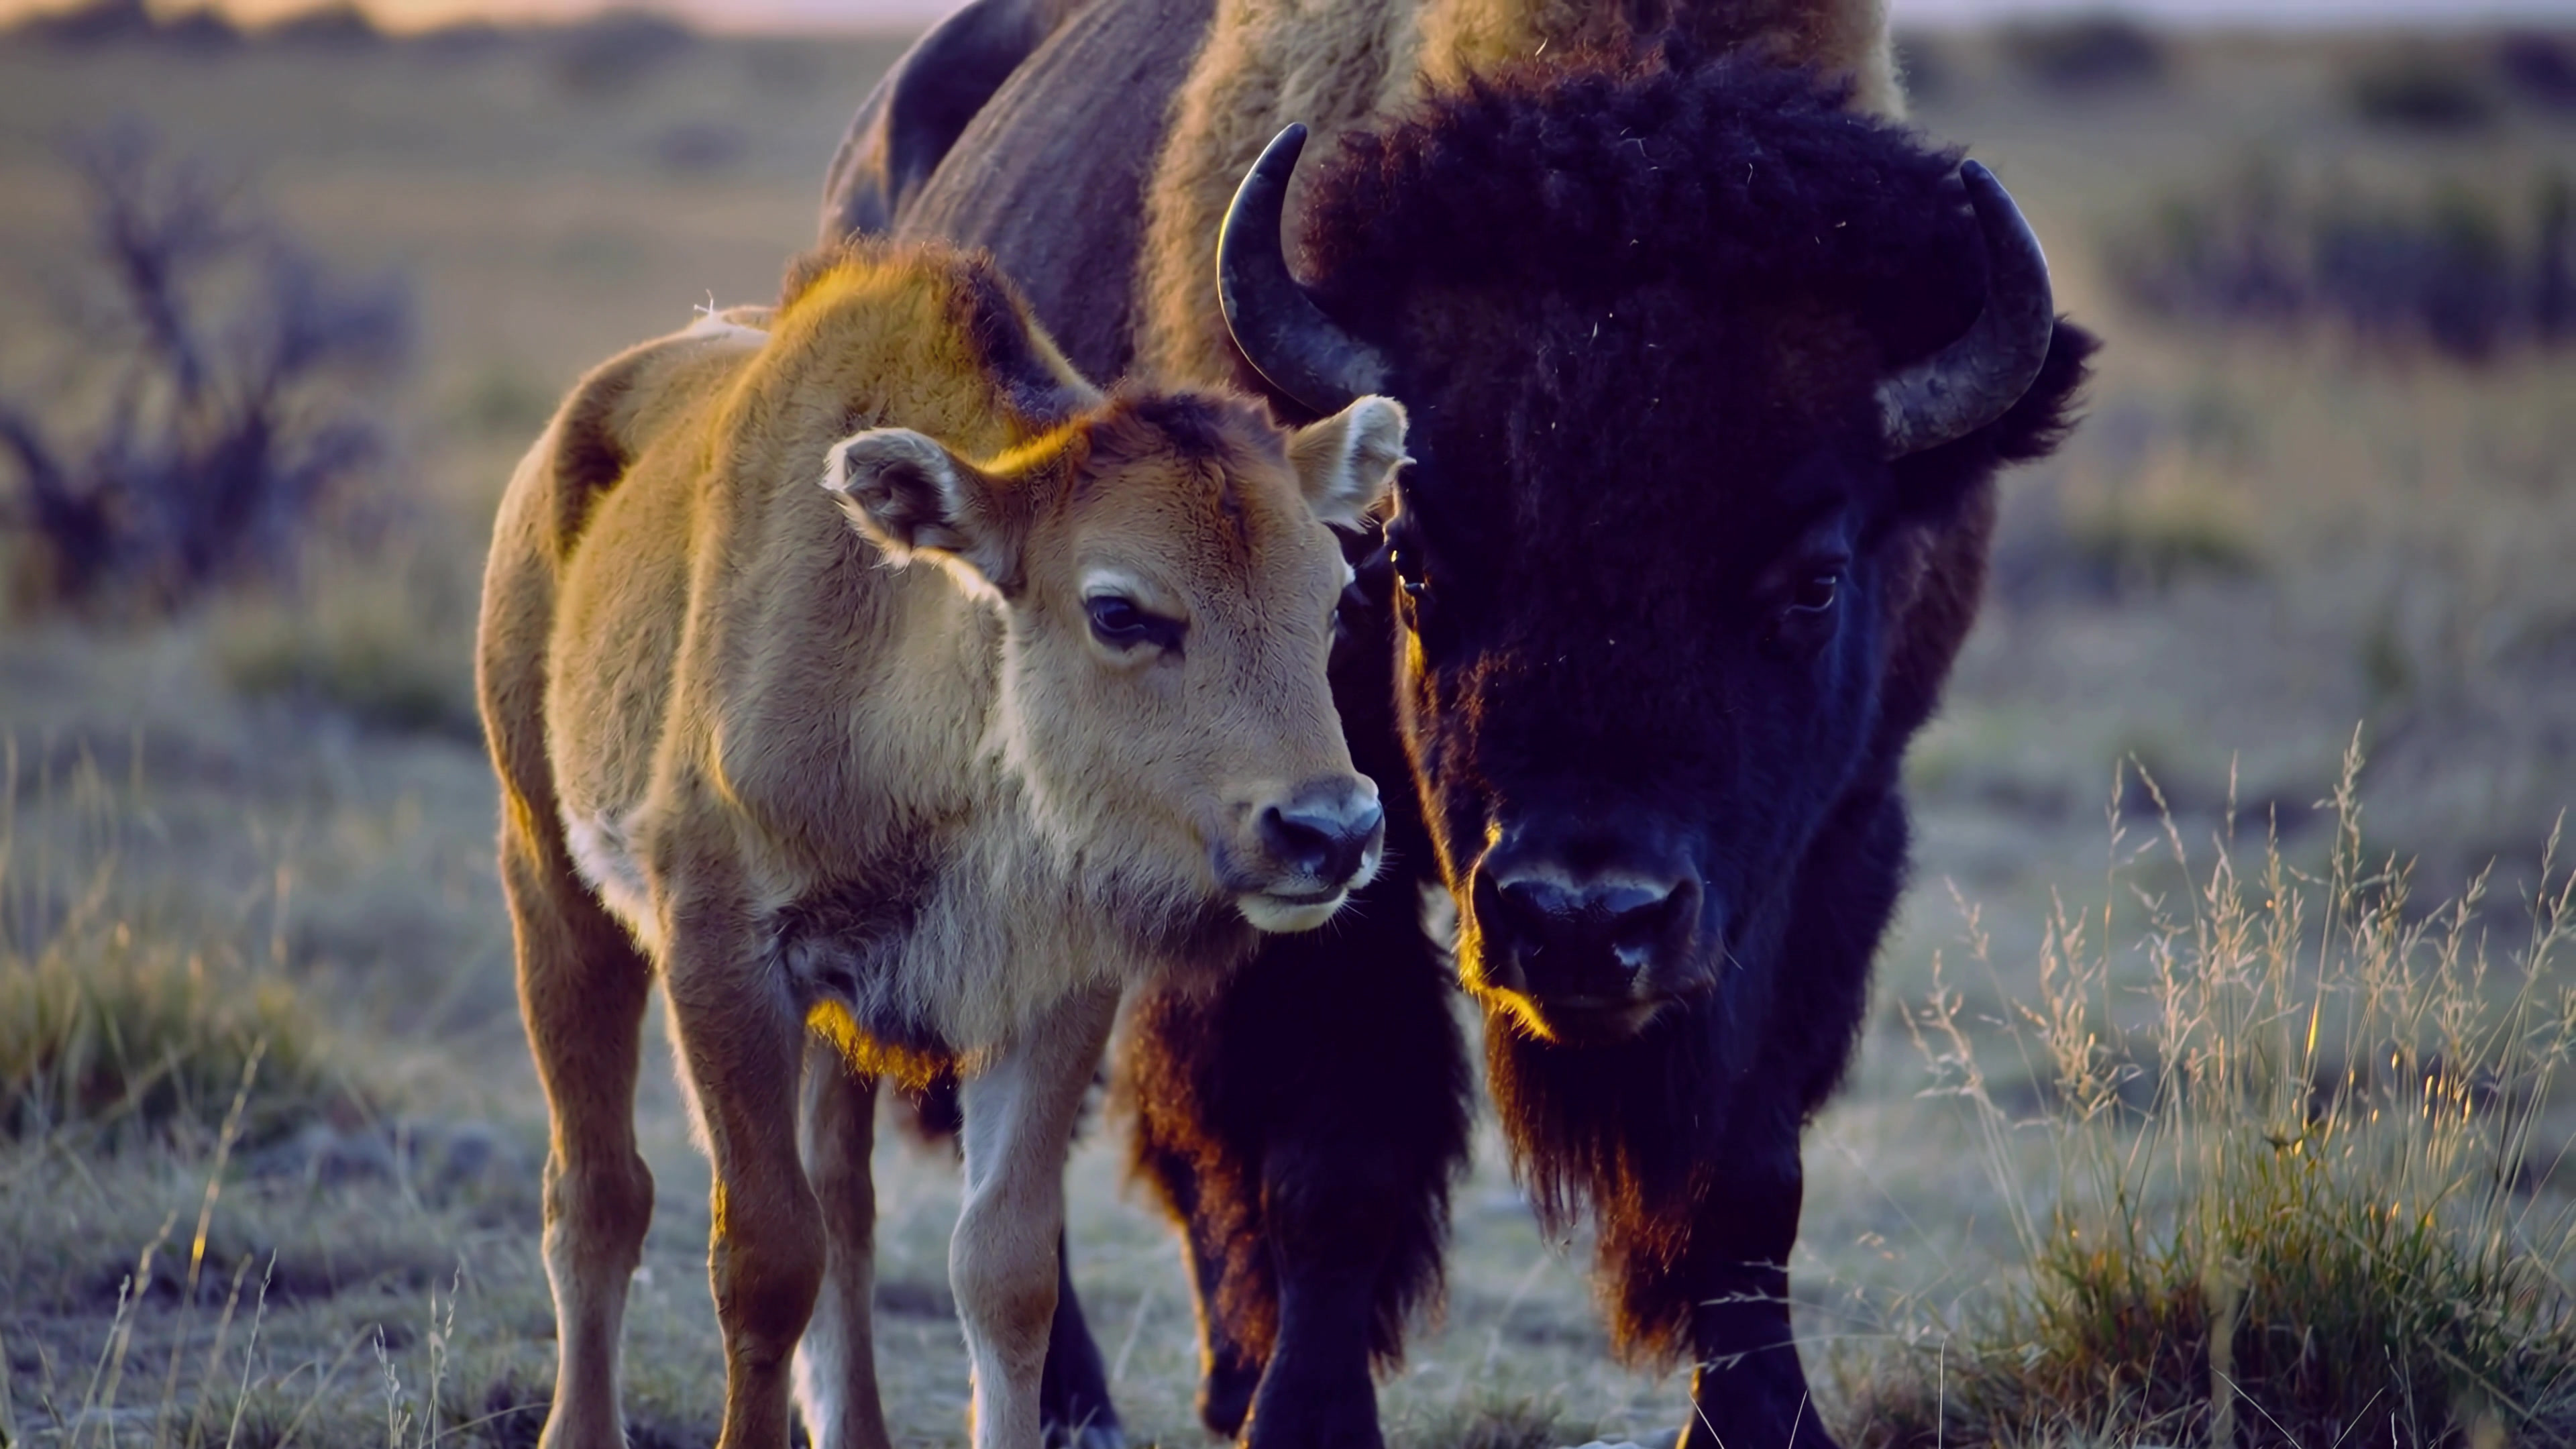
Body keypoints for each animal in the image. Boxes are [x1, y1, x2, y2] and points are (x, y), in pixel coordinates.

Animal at [473, 236, 1414, 1449]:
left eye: (1337, 598)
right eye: (1119, 611)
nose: (1329, 831)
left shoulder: (1053, 988)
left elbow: (1001, 1270)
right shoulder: (724, 961)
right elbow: (764, 1259)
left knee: (842, 1204)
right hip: (549, 884)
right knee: (598, 1190)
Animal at [819, 5, 2095, 1446]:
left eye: (1815, 580)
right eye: (1414, 558)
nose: (1580, 920)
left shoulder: (1833, 846)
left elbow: (1748, 1174)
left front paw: (1769, 1418)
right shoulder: (1314, 866)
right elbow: (1339, 1158)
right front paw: (1308, 1419)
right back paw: (1081, 1402)